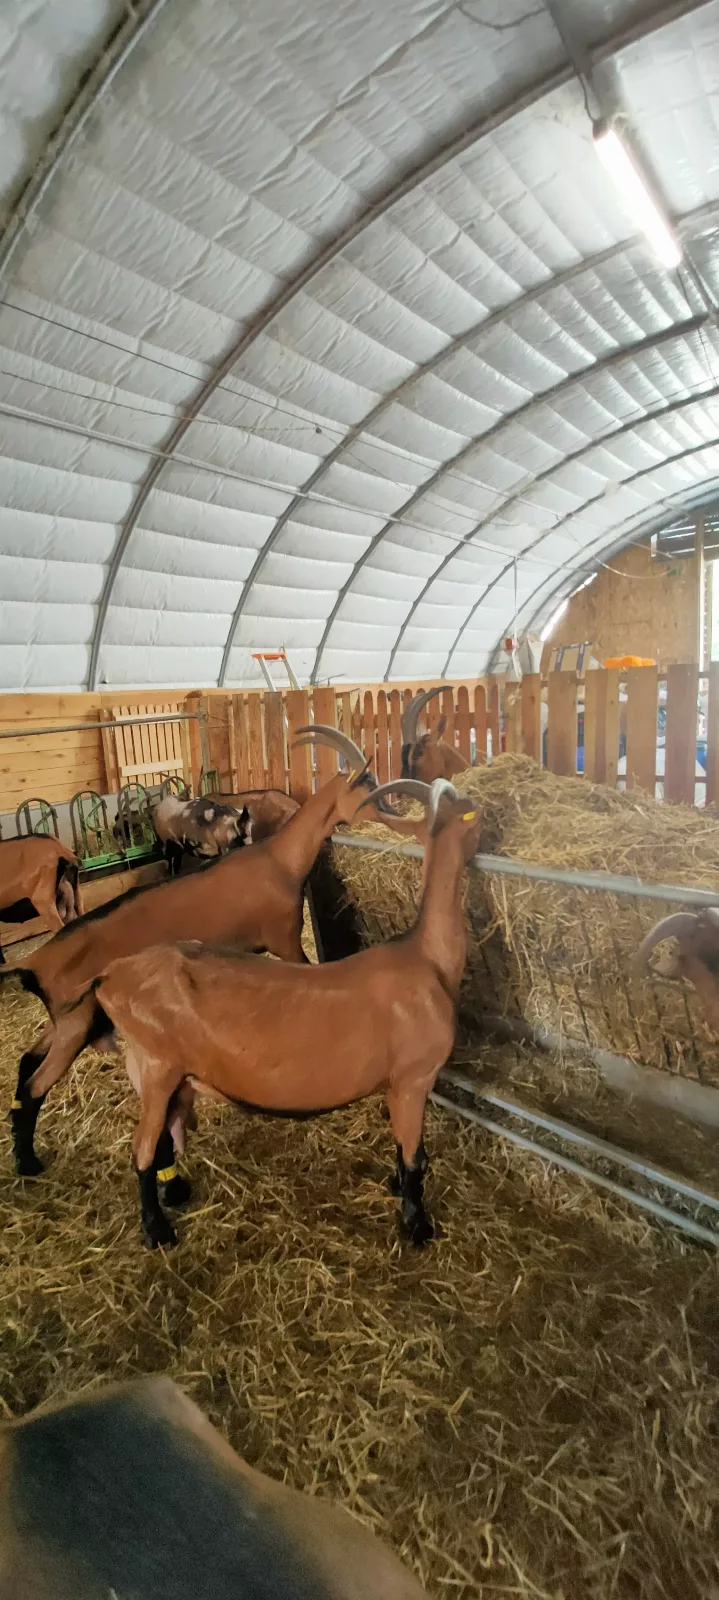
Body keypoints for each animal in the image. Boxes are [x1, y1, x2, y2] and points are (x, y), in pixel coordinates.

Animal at [3, 764, 376, 1179]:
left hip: (70, 1019)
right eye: (367, 788)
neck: (278, 858)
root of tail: (33, 965)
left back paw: (22, 1155)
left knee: (27, 1062)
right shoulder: (286, 942)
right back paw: (30, 1161)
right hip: (75, 1024)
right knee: (35, 1086)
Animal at [55, 779, 482, 1249]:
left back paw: (175, 1193)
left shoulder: (396, 1085)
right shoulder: (413, 1079)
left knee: (162, 1140)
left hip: (157, 1074)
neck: (426, 958)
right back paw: (158, 1230)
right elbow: (415, 1157)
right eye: (470, 813)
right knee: (142, 1150)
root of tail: (109, 977)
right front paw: (418, 1225)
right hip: (157, 1066)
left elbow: (403, 1146)